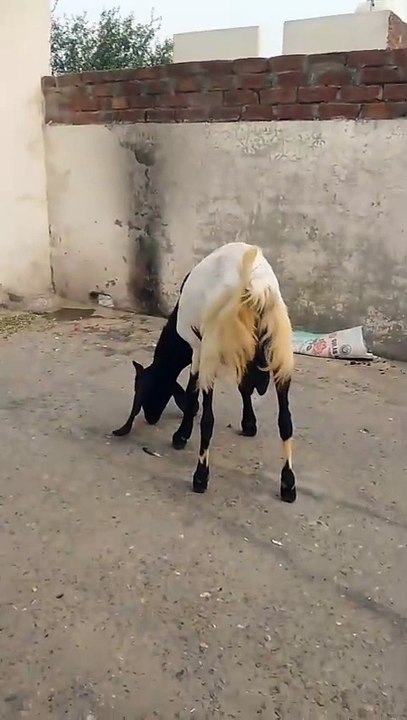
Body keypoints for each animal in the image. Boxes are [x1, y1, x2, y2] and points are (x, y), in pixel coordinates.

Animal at [113, 242, 296, 503]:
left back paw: (200, 477)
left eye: (144, 390)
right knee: (286, 421)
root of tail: (253, 288)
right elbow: (243, 387)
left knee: (209, 420)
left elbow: (192, 392)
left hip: (213, 346)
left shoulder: (197, 349)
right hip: (280, 348)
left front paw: (181, 435)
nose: (150, 417)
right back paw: (288, 485)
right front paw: (249, 424)